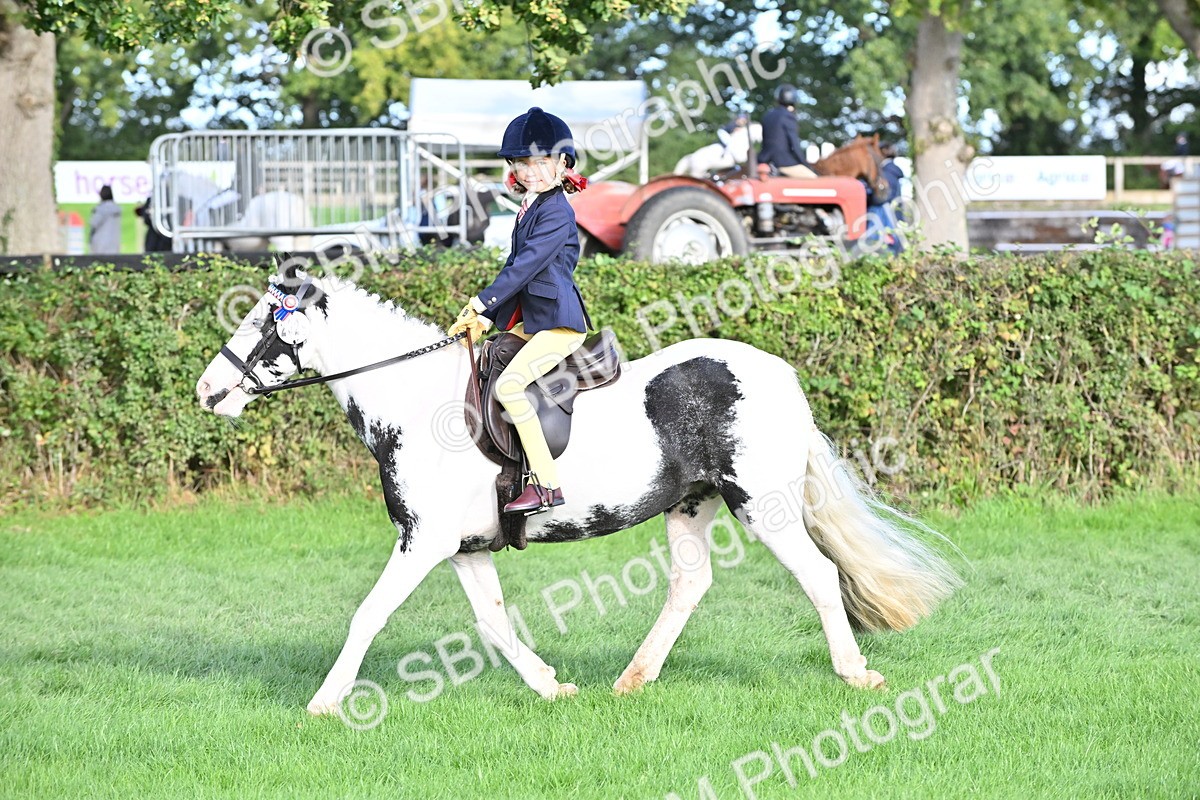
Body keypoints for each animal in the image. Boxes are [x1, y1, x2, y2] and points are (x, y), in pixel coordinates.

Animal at [195, 269, 960, 715]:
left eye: (263, 324)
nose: (207, 391)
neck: (414, 401)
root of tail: (779, 373)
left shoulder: (424, 540)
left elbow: (367, 615)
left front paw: (325, 703)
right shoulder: (464, 547)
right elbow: (493, 622)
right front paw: (550, 686)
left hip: (762, 505)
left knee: (820, 576)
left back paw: (855, 674)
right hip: (691, 503)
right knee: (691, 584)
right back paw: (633, 680)